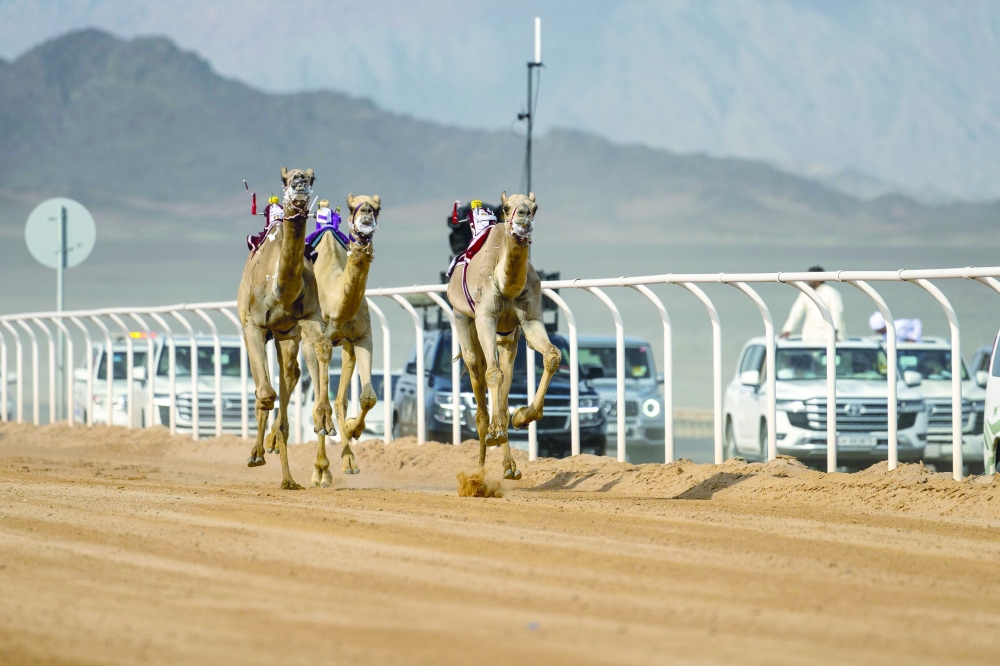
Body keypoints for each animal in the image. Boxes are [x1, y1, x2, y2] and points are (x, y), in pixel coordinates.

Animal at [237, 167, 334, 490]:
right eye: (287, 177)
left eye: (312, 177)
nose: (300, 181)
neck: (280, 291)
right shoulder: (254, 325)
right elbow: (265, 394)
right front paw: (257, 454)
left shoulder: (308, 318)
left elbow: (324, 346)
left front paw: (324, 420)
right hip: (256, 328)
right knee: (264, 389)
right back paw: (260, 453)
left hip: (286, 335)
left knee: (291, 375)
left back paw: (288, 476)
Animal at [301, 194, 381, 486]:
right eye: (352, 206)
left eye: (377, 207)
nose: (366, 212)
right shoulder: (313, 341)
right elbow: (318, 403)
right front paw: (320, 470)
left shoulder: (363, 338)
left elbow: (367, 398)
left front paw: (352, 429)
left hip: (346, 346)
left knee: (340, 399)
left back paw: (348, 461)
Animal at [446, 191, 561, 480]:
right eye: (507, 208)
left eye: (535, 207)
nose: (523, 216)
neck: (505, 284)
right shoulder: (485, 317)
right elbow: (493, 373)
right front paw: (495, 434)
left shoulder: (529, 321)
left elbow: (552, 355)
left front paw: (523, 416)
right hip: (462, 318)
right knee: (478, 374)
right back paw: (479, 470)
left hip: (508, 338)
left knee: (503, 392)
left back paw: (509, 466)